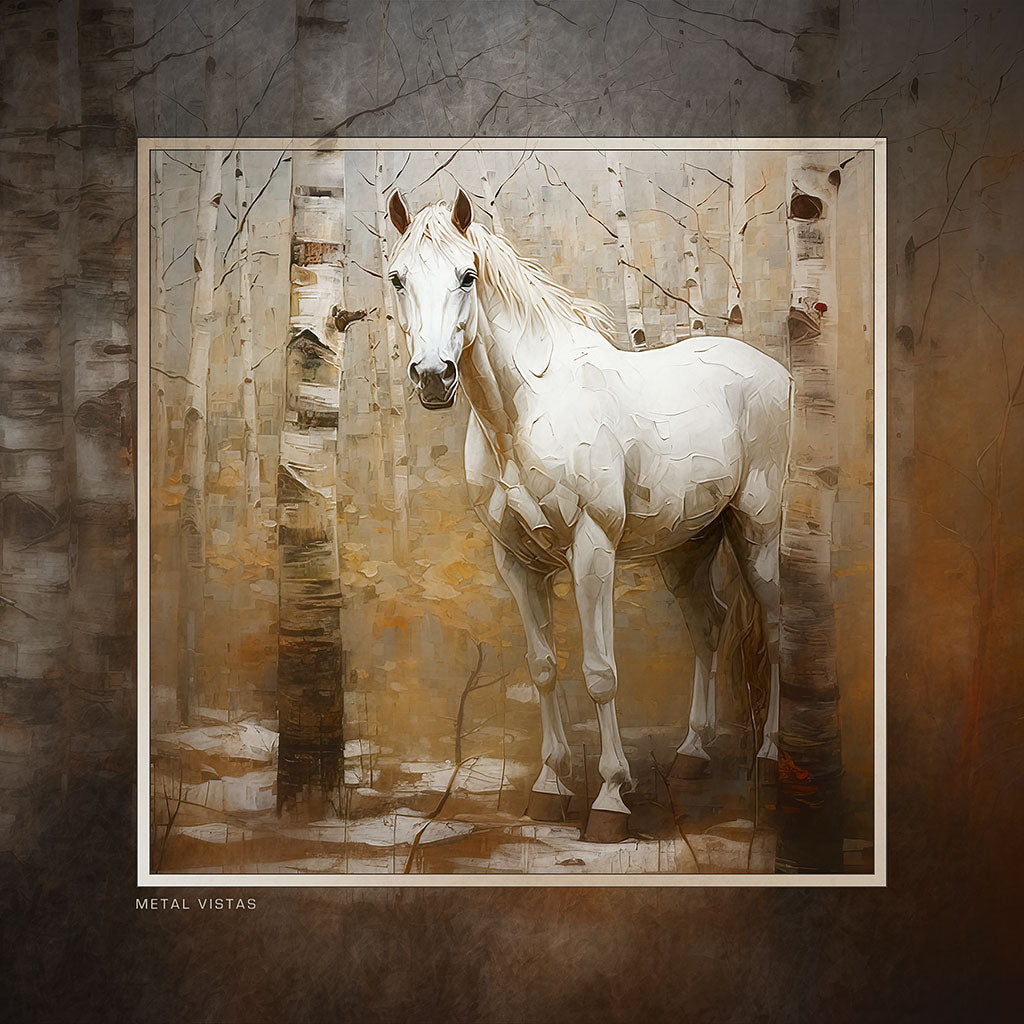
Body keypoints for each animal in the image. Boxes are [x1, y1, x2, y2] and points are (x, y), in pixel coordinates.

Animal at [385, 188, 792, 842]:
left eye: (467, 275)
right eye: (398, 278)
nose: (432, 377)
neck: (526, 412)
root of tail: (773, 371)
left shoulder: (591, 550)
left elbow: (600, 673)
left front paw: (610, 799)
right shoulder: (516, 562)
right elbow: (544, 667)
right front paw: (549, 787)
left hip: (757, 529)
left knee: (775, 630)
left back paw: (771, 756)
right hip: (688, 545)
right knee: (709, 625)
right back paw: (693, 754)